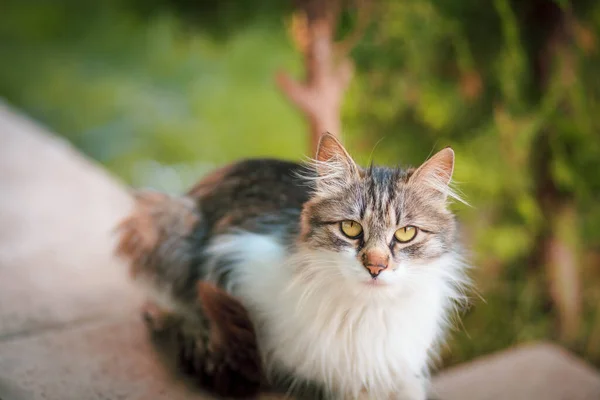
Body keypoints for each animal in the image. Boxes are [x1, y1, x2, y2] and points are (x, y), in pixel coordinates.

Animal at [116, 133, 468, 398]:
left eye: (406, 233)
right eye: (350, 228)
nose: (376, 266)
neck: (365, 313)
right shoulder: (234, 258)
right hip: (167, 221)